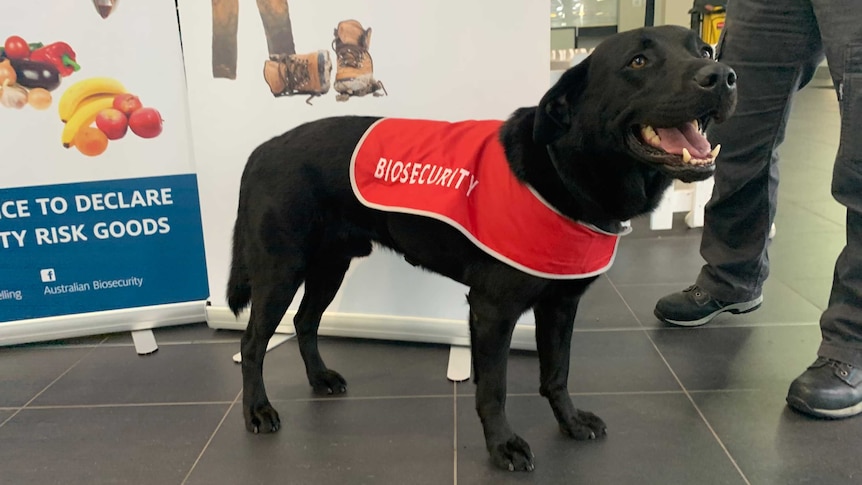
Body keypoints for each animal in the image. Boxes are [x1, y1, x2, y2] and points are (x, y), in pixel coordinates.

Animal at [228, 24, 736, 470]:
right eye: (638, 61)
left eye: (705, 50)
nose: (724, 76)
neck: (560, 168)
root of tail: (262, 150)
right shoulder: (493, 309)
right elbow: (493, 388)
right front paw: (503, 446)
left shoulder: (561, 305)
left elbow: (557, 373)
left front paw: (570, 422)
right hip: (280, 271)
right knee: (253, 342)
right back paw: (257, 411)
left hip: (330, 265)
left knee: (305, 321)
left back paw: (319, 378)